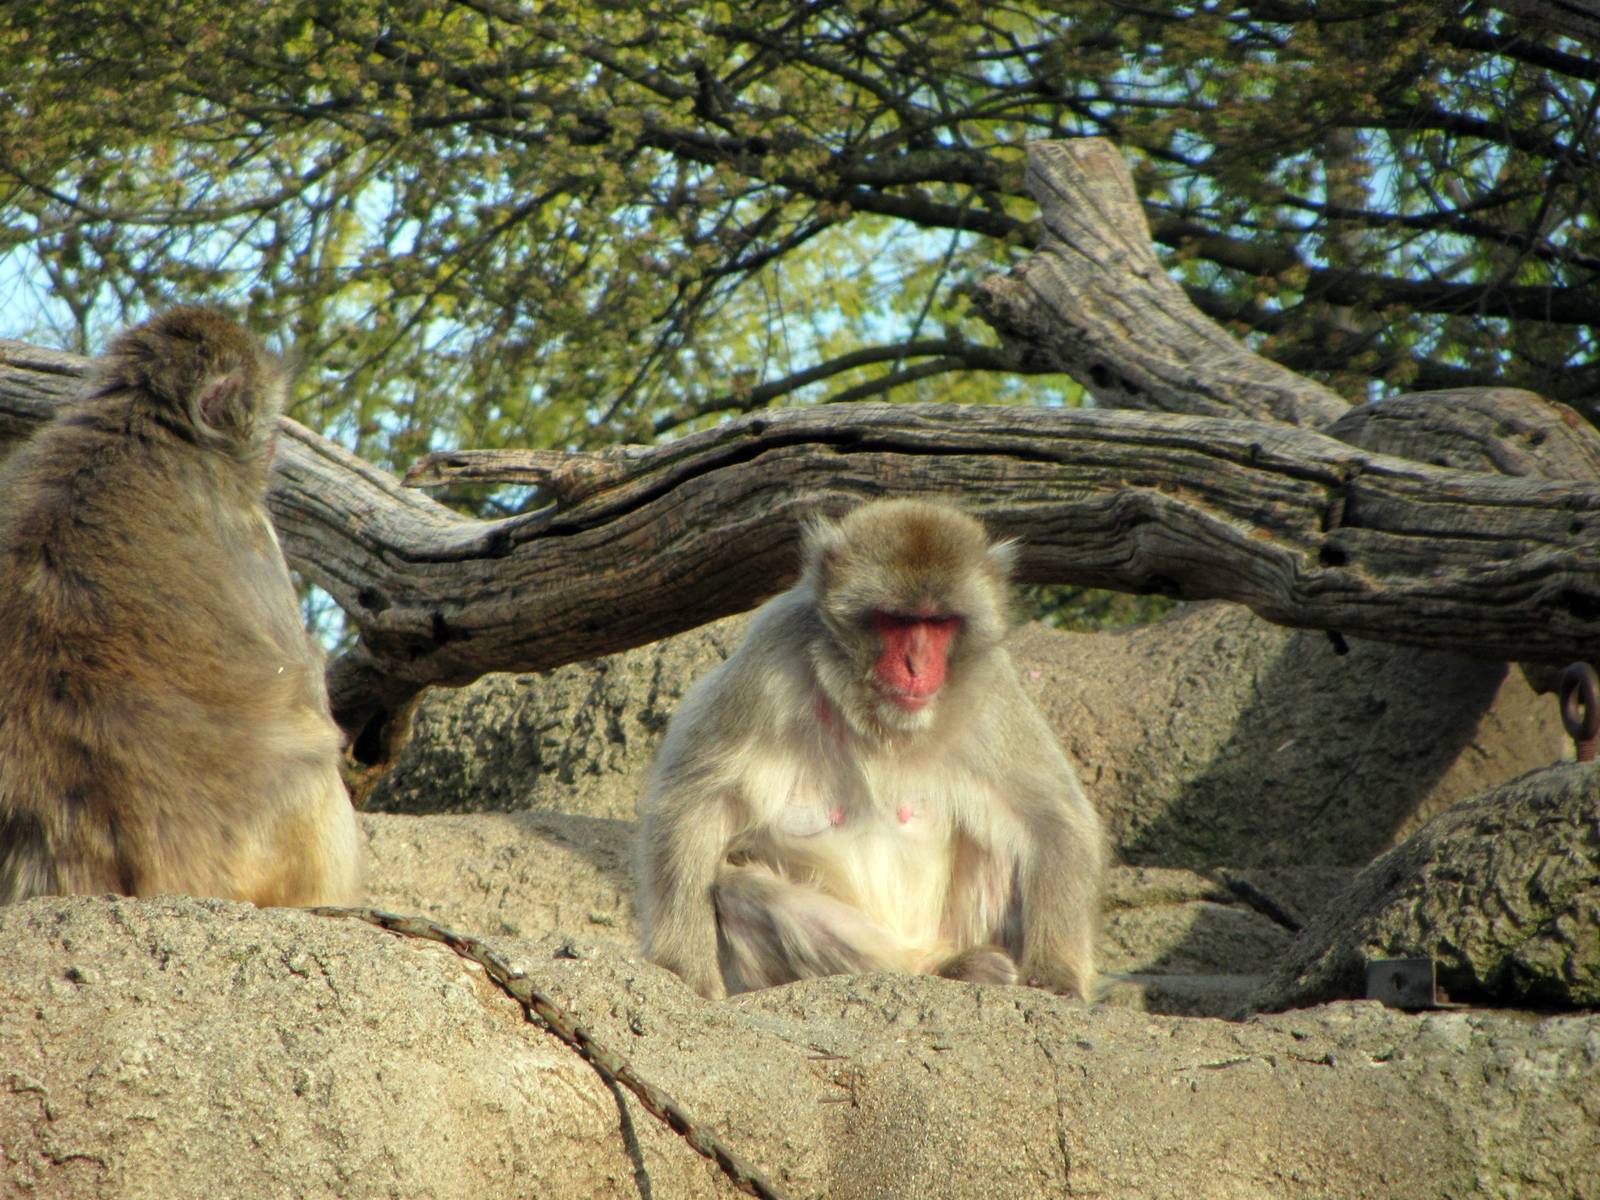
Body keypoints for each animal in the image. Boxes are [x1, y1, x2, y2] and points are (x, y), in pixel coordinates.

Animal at [637, 497, 1105, 1000]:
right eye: (897, 620)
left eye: (938, 622)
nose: (917, 665)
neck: (878, 719)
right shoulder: (771, 654)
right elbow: (697, 800)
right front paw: (684, 966)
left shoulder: (991, 687)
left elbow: (1052, 818)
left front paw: (1056, 972)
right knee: (738, 889)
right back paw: (936, 971)